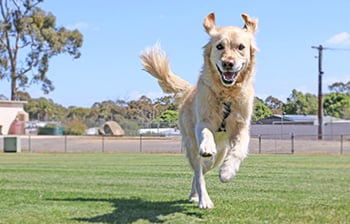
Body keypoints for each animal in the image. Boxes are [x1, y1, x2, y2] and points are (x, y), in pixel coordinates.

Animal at [139, 12, 258, 208]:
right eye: (219, 46)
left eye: (241, 47)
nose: (228, 63)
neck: (226, 94)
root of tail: (188, 90)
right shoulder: (203, 121)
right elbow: (206, 132)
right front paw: (208, 145)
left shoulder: (241, 127)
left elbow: (239, 150)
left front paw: (227, 171)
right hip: (192, 145)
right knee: (198, 171)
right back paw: (203, 199)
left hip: (218, 156)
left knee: (202, 170)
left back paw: (196, 193)